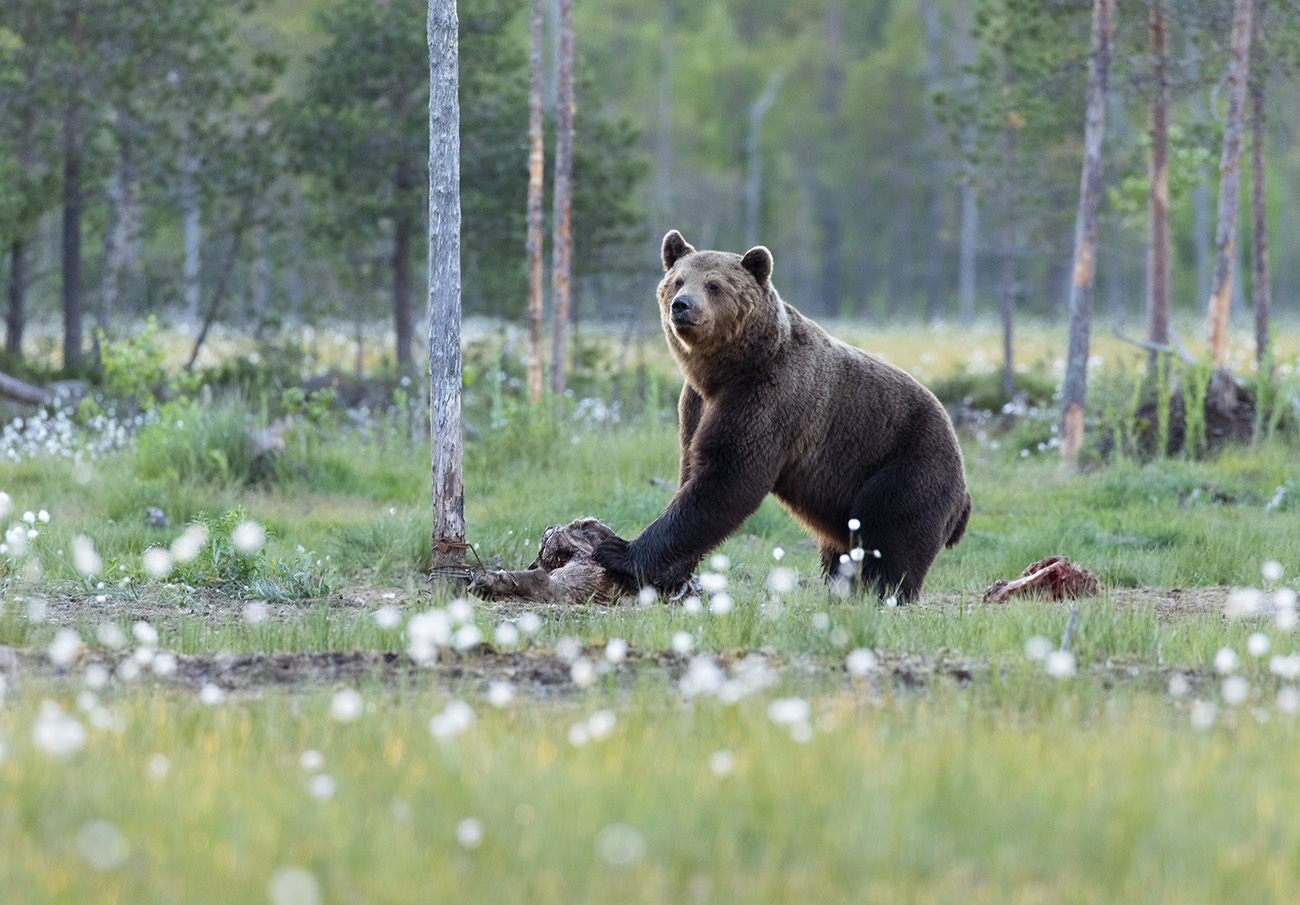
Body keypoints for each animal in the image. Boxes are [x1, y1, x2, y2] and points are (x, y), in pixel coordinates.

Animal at [595, 230, 972, 603]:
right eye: (678, 280)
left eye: (714, 285)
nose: (682, 305)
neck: (727, 371)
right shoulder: (695, 405)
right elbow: (693, 468)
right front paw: (670, 575)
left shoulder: (768, 399)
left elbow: (727, 478)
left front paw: (618, 551)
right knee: (843, 549)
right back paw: (841, 589)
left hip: (907, 465)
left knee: (890, 536)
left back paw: (882, 593)